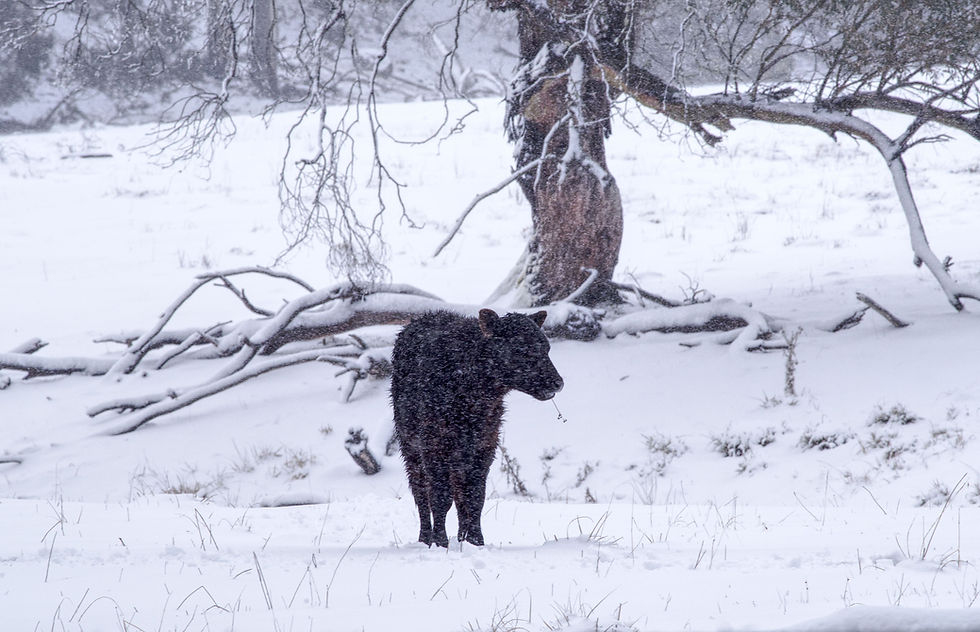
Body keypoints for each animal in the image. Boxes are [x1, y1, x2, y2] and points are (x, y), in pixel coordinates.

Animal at [391, 308, 564, 547]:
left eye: (546, 347)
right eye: (522, 348)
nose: (558, 382)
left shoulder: (485, 445)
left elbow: (475, 497)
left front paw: (476, 542)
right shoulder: (433, 445)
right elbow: (440, 498)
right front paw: (441, 542)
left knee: (459, 495)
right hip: (409, 445)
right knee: (420, 492)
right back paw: (425, 538)